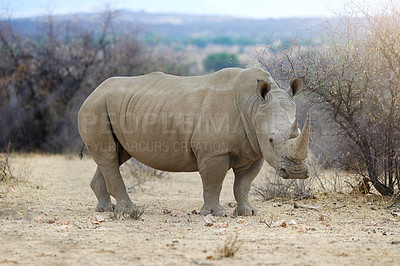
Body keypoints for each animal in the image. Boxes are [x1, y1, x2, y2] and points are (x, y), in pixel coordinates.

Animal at [78, 66, 310, 216]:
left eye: (299, 131)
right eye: (271, 139)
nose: (297, 173)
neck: (253, 105)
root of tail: (93, 92)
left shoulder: (253, 151)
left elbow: (243, 184)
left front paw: (249, 212)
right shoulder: (214, 152)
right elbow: (214, 182)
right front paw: (216, 214)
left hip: (113, 108)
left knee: (115, 156)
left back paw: (106, 209)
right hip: (95, 108)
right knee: (109, 157)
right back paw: (129, 212)